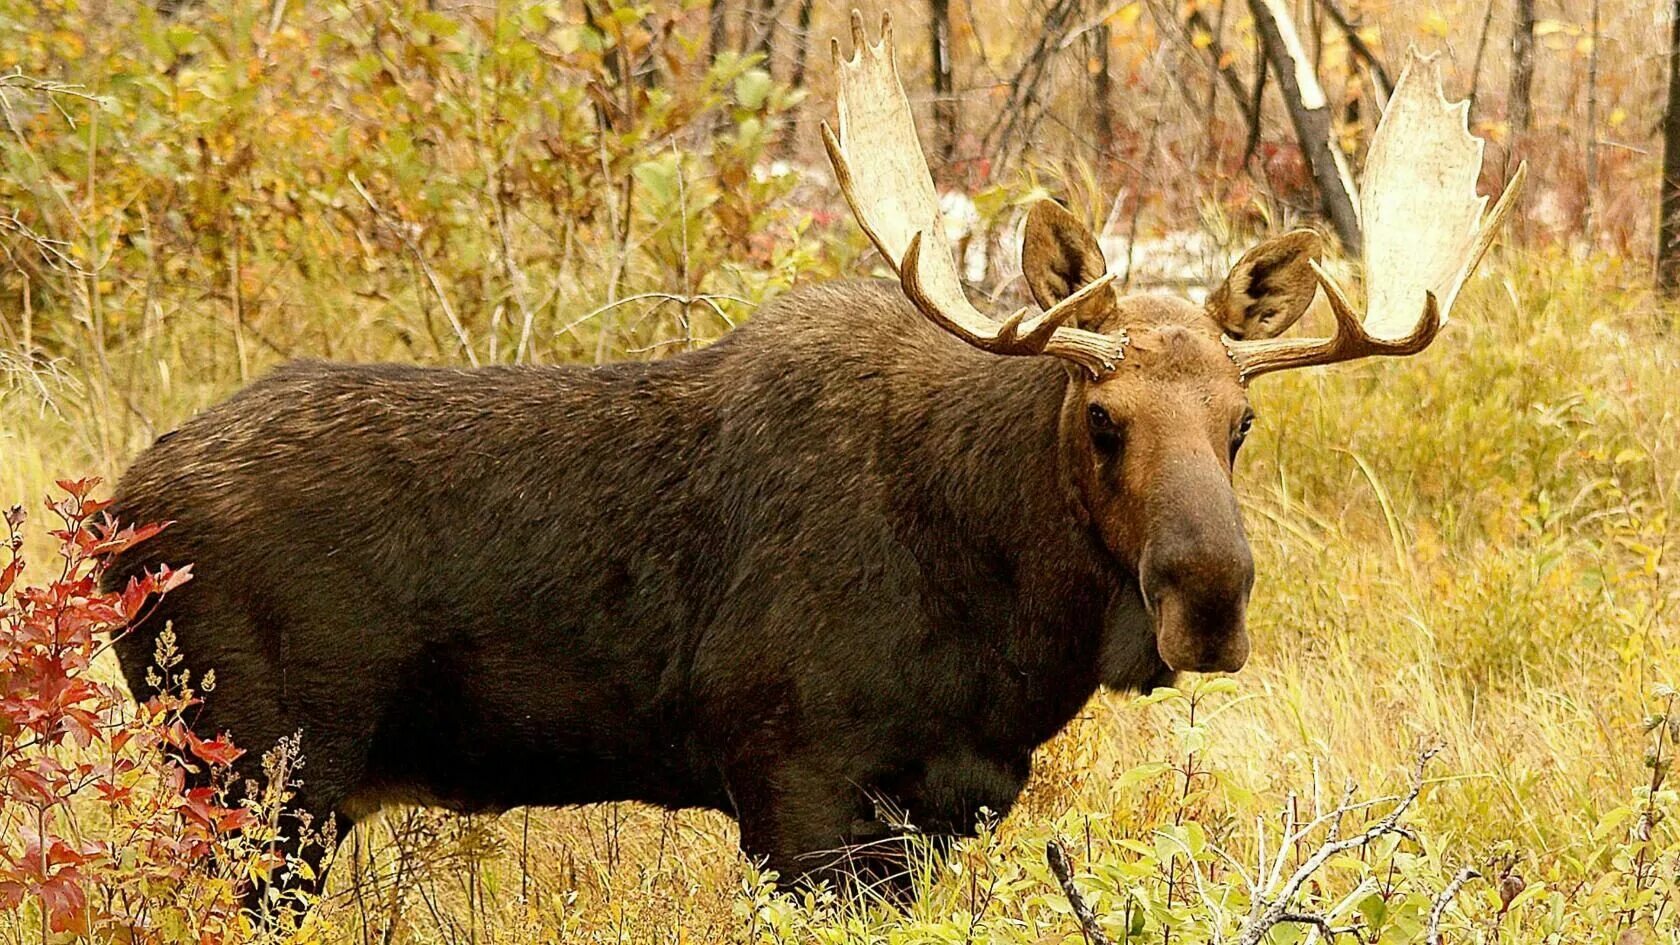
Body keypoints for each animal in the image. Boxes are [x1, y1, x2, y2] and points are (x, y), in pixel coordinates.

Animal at [101, 16, 1525, 894]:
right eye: (1102, 416)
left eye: (1244, 421)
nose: (1211, 600)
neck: (1012, 636)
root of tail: (116, 509)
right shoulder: (796, 787)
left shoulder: (949, 806)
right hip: (255, 780)